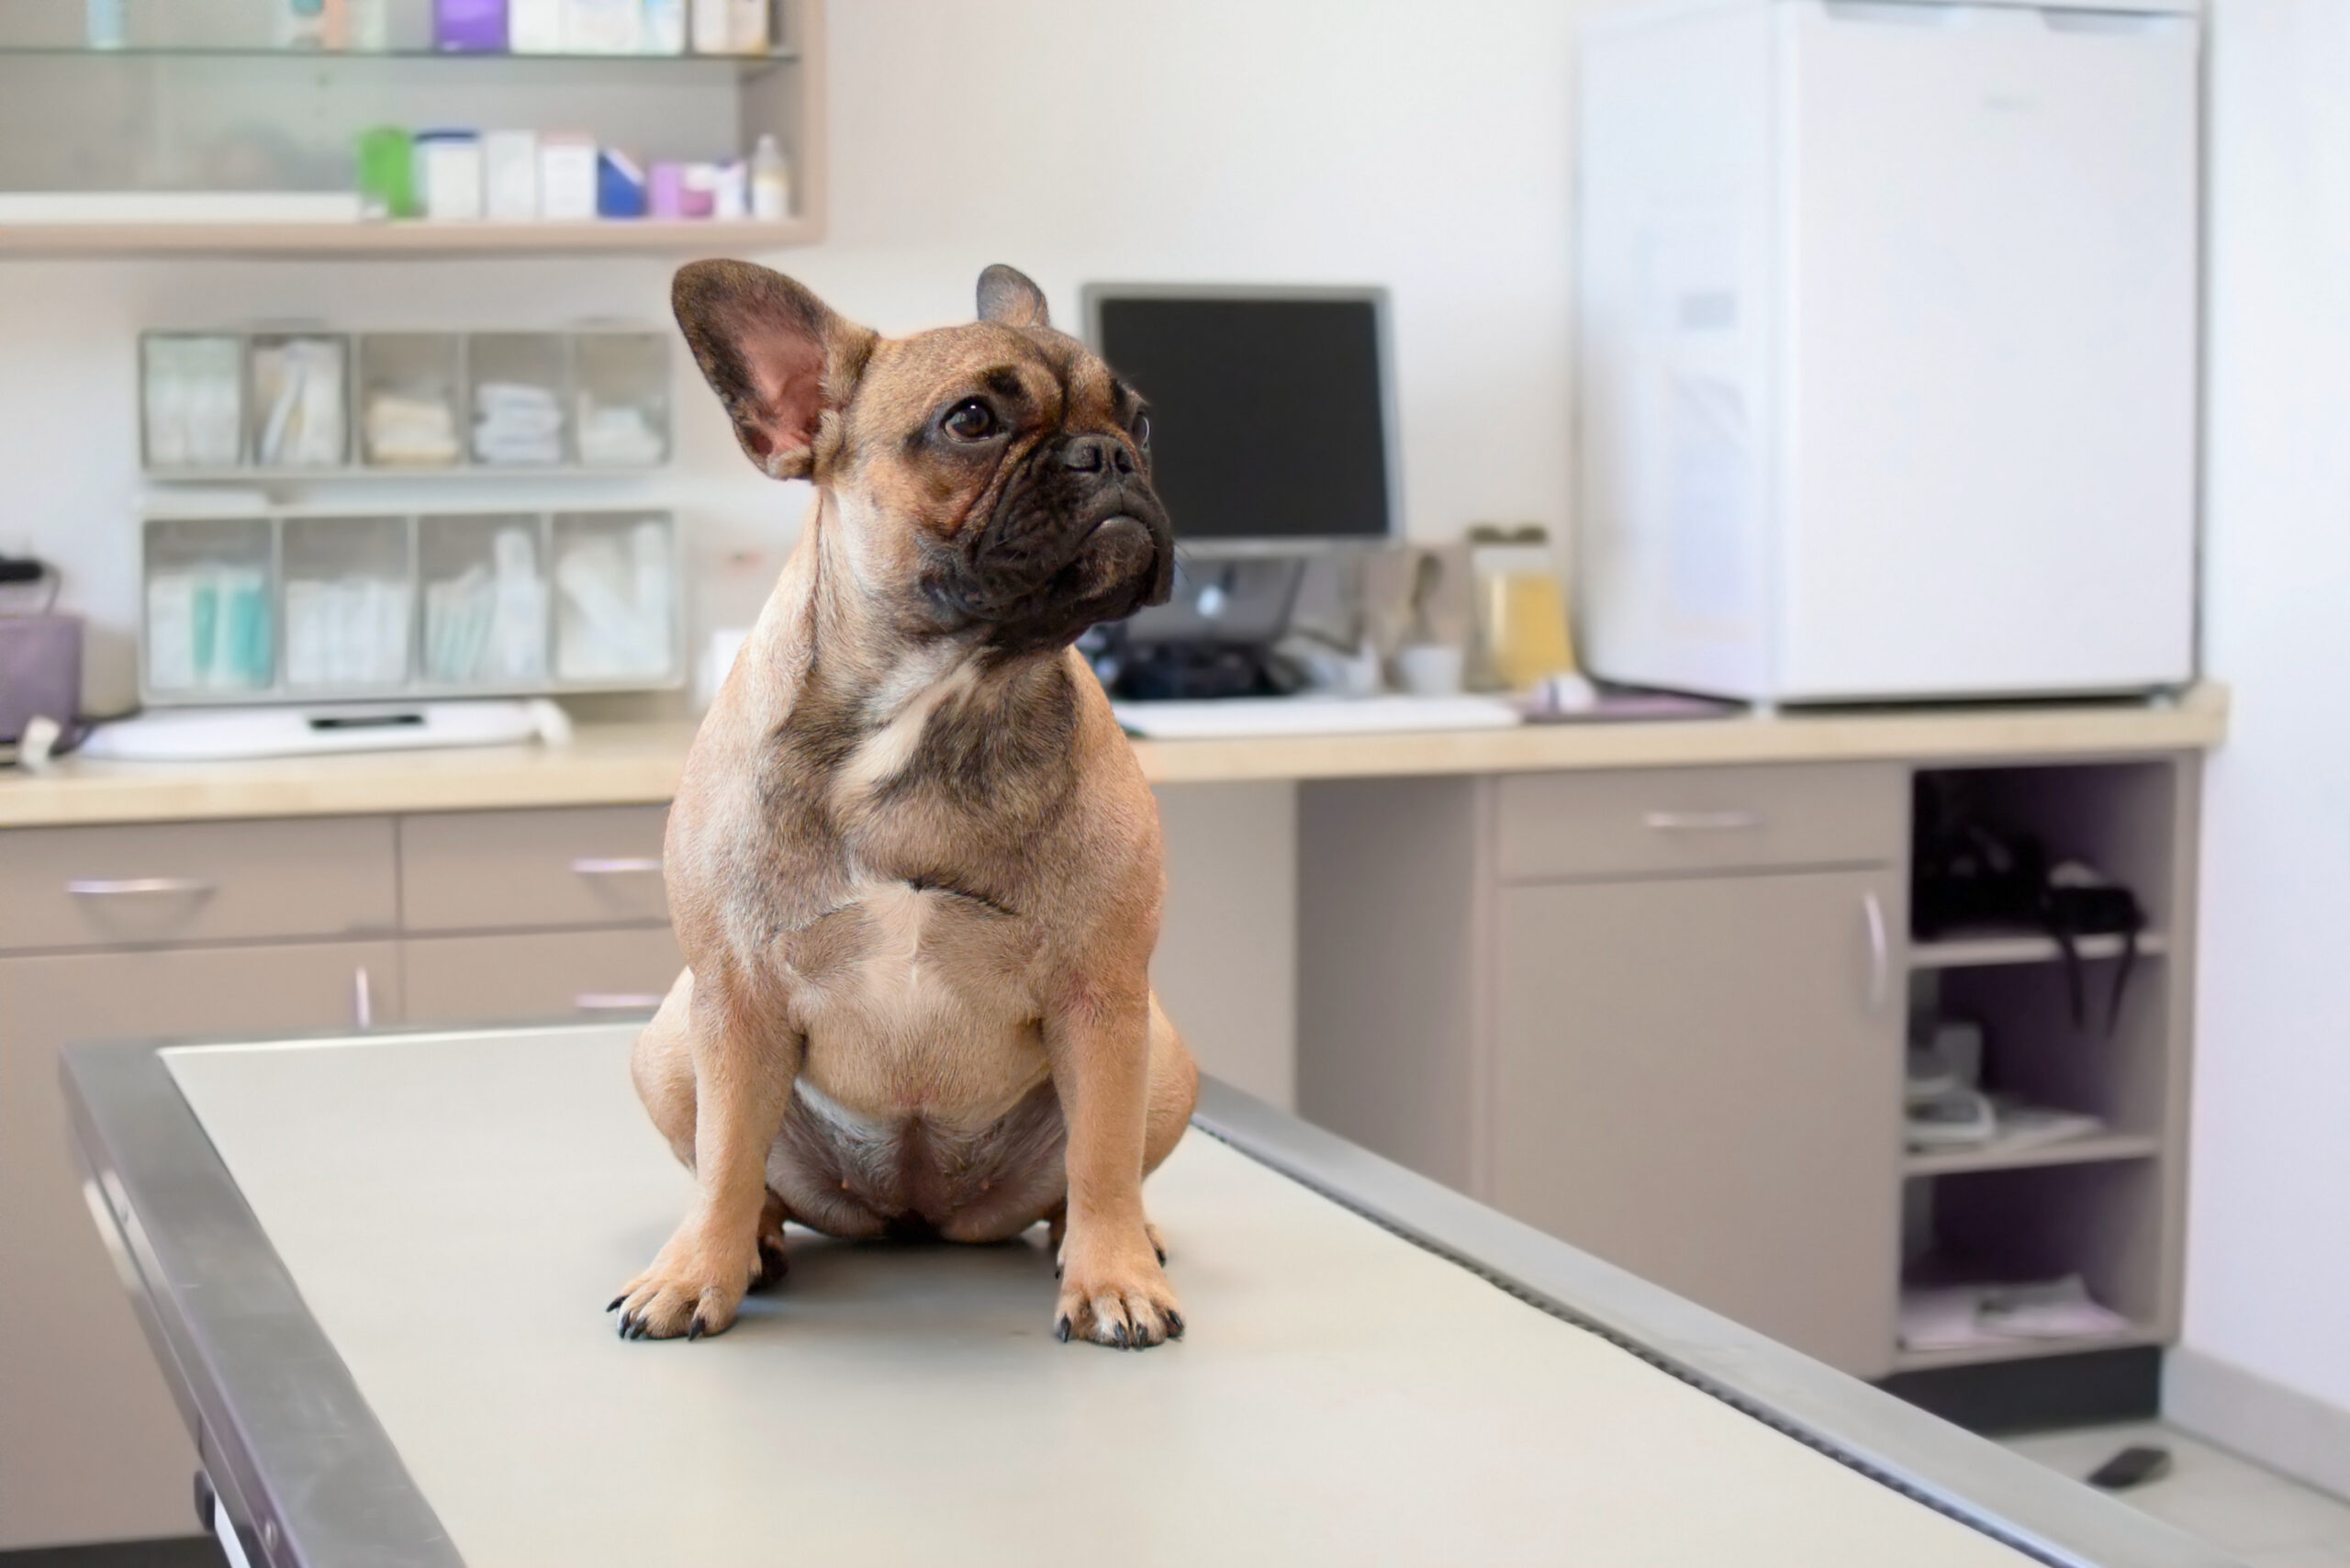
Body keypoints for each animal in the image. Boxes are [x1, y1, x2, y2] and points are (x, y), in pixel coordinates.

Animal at [610, 261, 1193, 1353]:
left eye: (1142, 419)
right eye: (971, 419)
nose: (1111, 455)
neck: (945, 692)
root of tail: (917, 1209)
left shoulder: (1102, 1001)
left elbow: (1100, 1158)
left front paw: (1112, 1279)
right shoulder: (735, 997)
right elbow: (723, 1156)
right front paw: (694, 1271)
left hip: (1163, 1056)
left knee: (1090, 1177)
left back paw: (1116, 1240)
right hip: (671, 1041)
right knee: (737, 1167)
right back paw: (752, 1239)